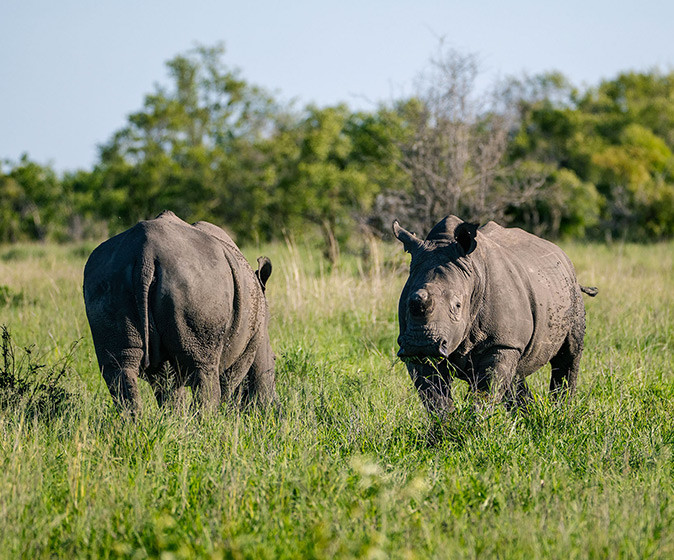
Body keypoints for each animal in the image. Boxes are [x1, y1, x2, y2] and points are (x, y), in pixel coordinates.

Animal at [83, 210, 276, 414]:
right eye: (274, 359)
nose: (275, 407)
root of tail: (145, 254)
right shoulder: (249, 346)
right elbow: (229, 383)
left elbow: (169, 389)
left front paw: (174, 417)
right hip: (198, 281)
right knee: (204, 368)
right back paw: (207, 419)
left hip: (108, 278)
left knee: (118, 368)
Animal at [393, 215, 597, 416]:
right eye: (408, 304)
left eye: (457, 306)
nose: (422, 343)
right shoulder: (417, 353)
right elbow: (434, 397)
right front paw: (446, 424)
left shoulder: (502, 343)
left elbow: (486, 392)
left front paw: (476, 424)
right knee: (515, 375)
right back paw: (528, 417)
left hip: (570, 290)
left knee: (569, 354)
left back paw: (561, 413)